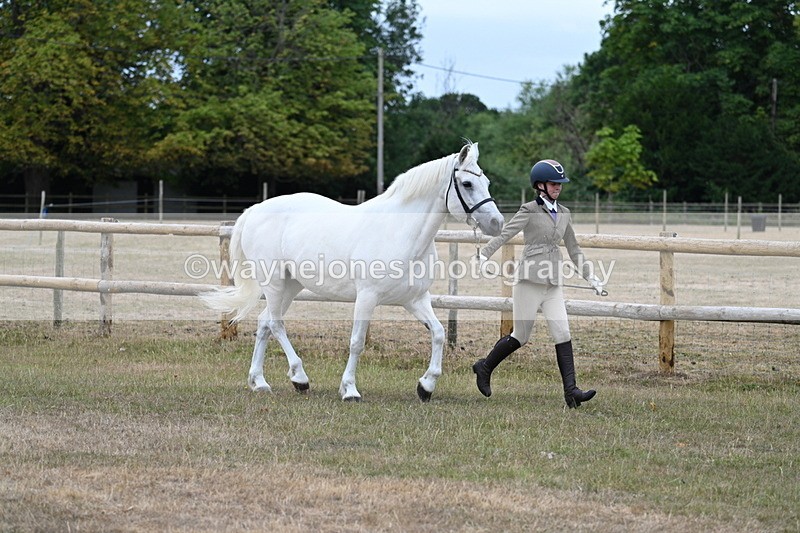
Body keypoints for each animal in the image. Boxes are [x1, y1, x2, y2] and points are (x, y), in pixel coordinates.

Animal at [200, 141, 504, 402]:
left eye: (487, 182)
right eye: (467, 183)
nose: (497, 223)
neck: (400, 233)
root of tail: (255, 210)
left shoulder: (414, 299)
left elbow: (438, 333)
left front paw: (426, 387)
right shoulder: (367, 297)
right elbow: (357, 342)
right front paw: (349, 390)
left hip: (291, 285)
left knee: (264, 323)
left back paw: (260, 382)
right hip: (274, 283)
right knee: (275, 324)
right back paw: (300, 378)